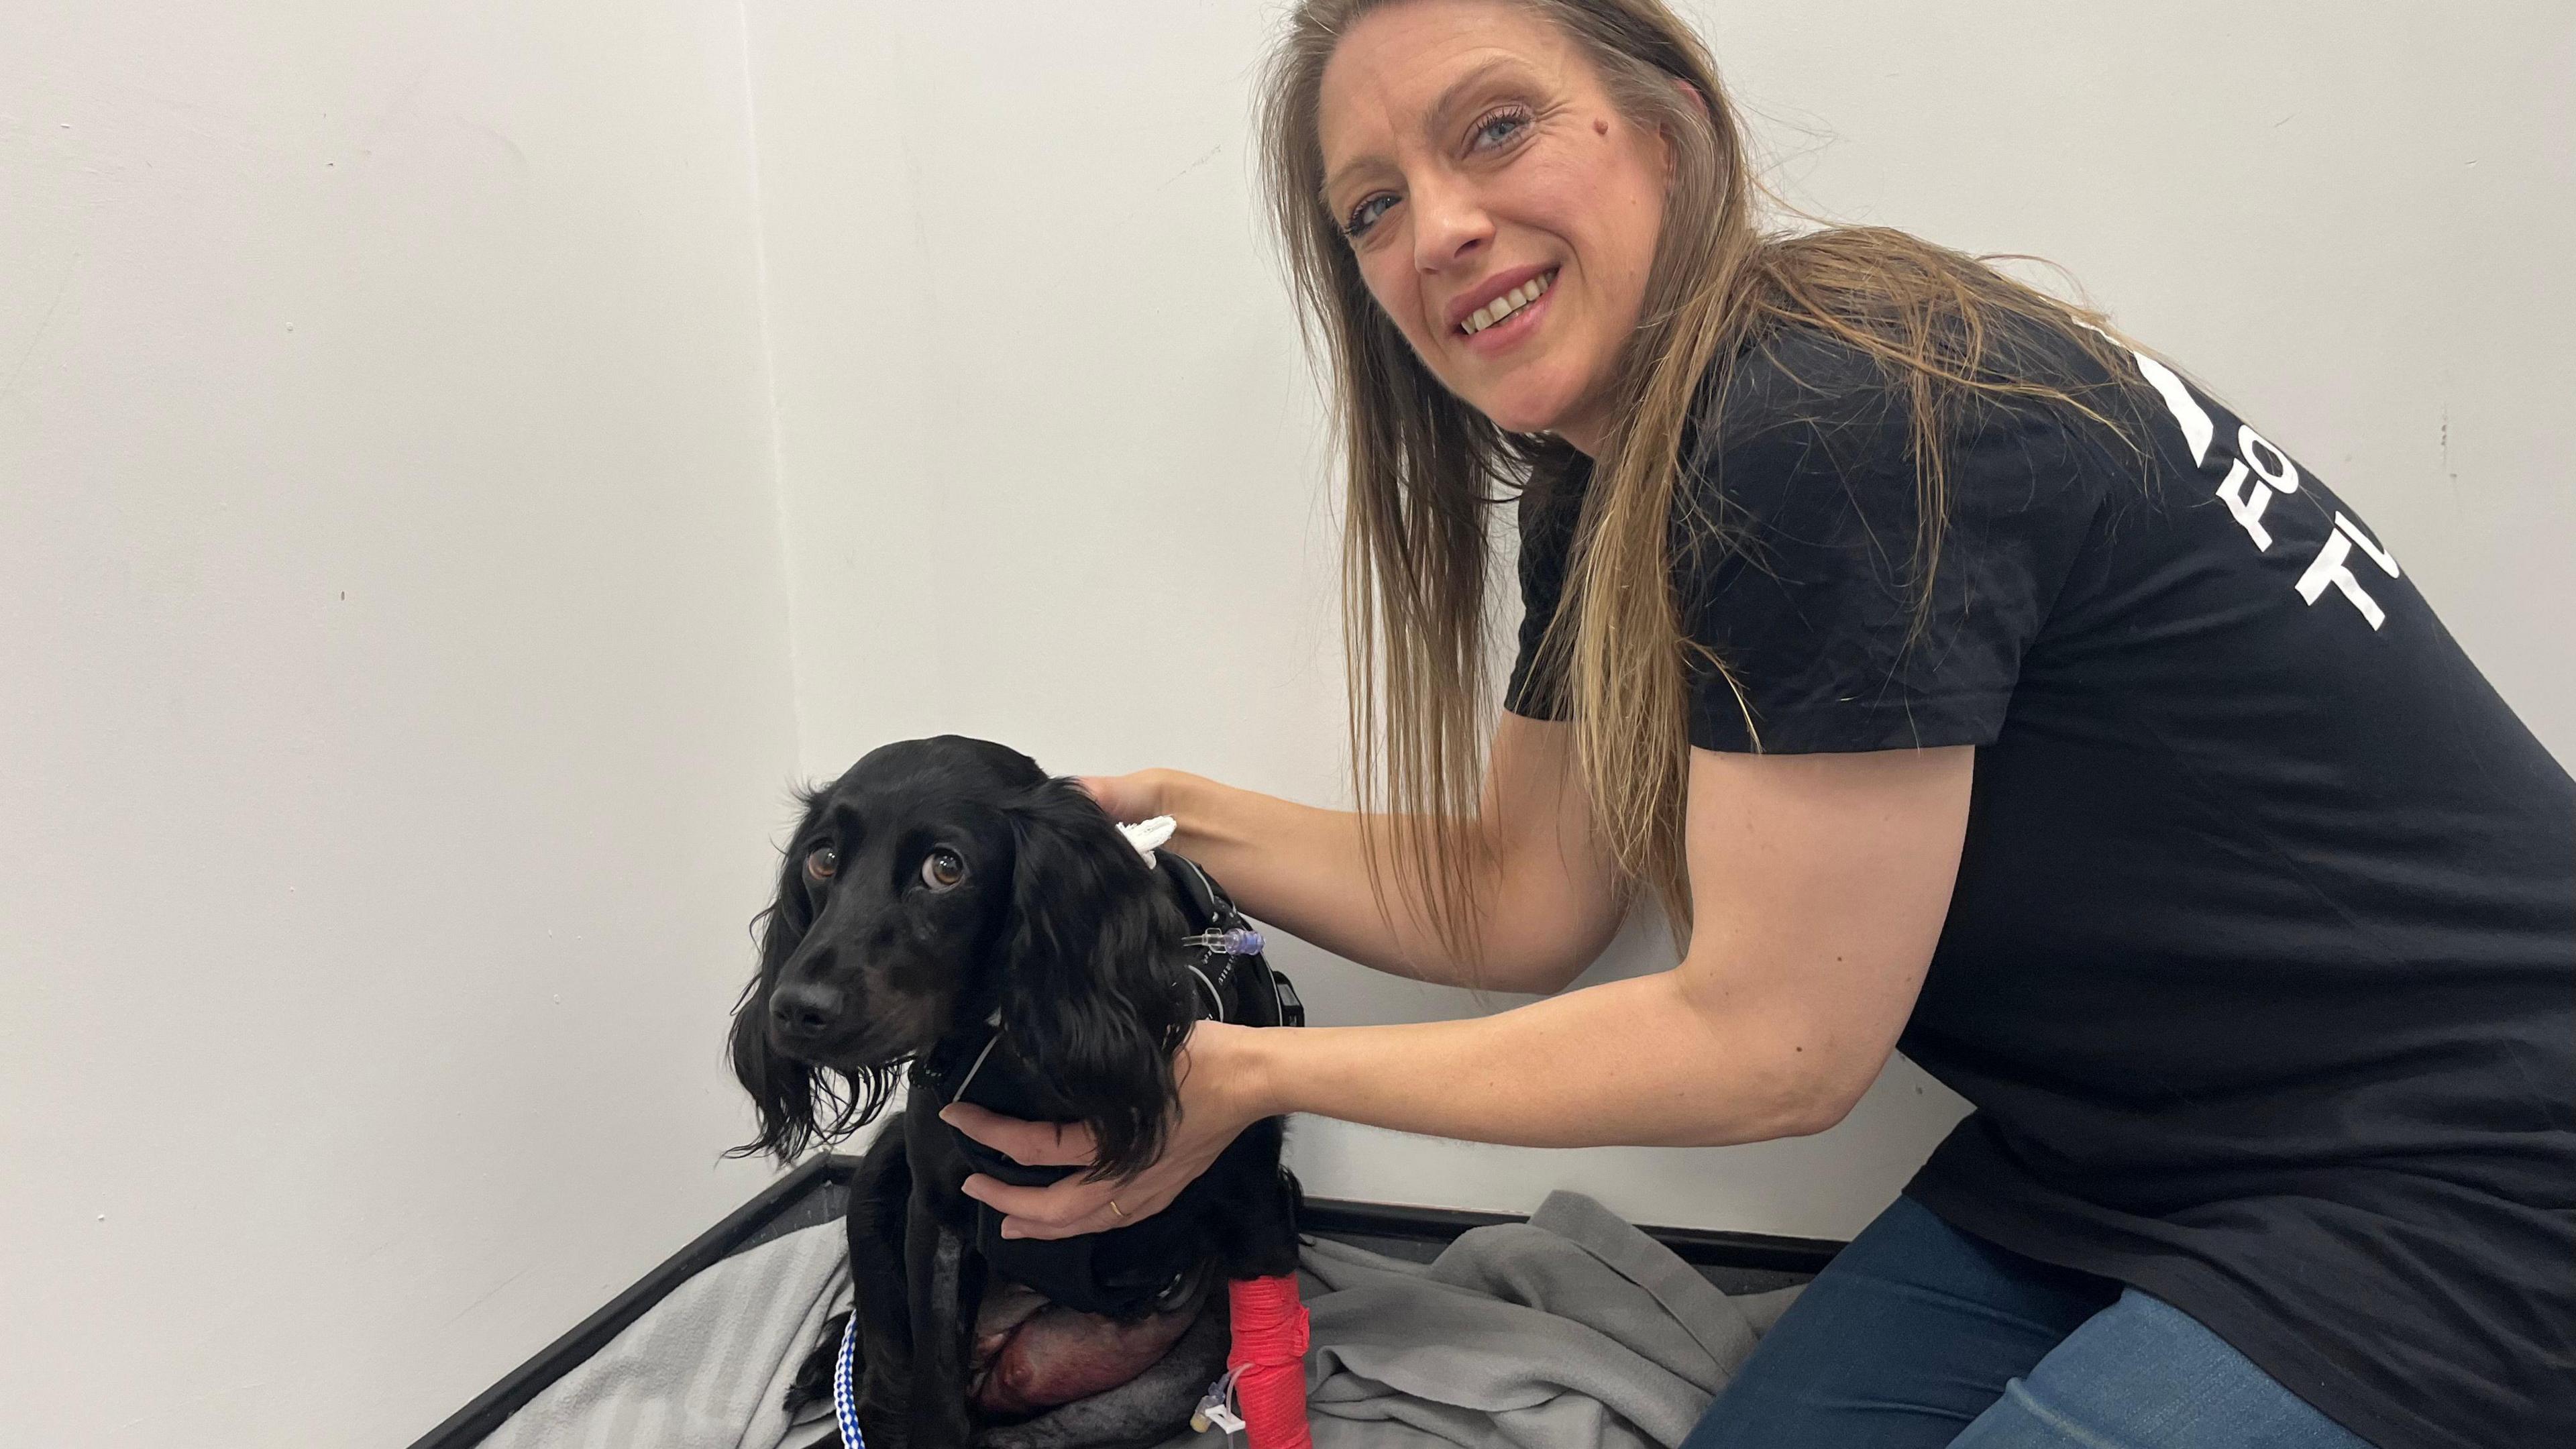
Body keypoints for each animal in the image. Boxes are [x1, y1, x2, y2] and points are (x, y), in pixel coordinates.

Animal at [731, 737, 1298, 1433]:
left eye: (946, 868)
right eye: (825, 857)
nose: (793, 1011)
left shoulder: (1259, 1214)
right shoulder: (937, 1223)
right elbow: (935, 1404)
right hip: (878, 1187)